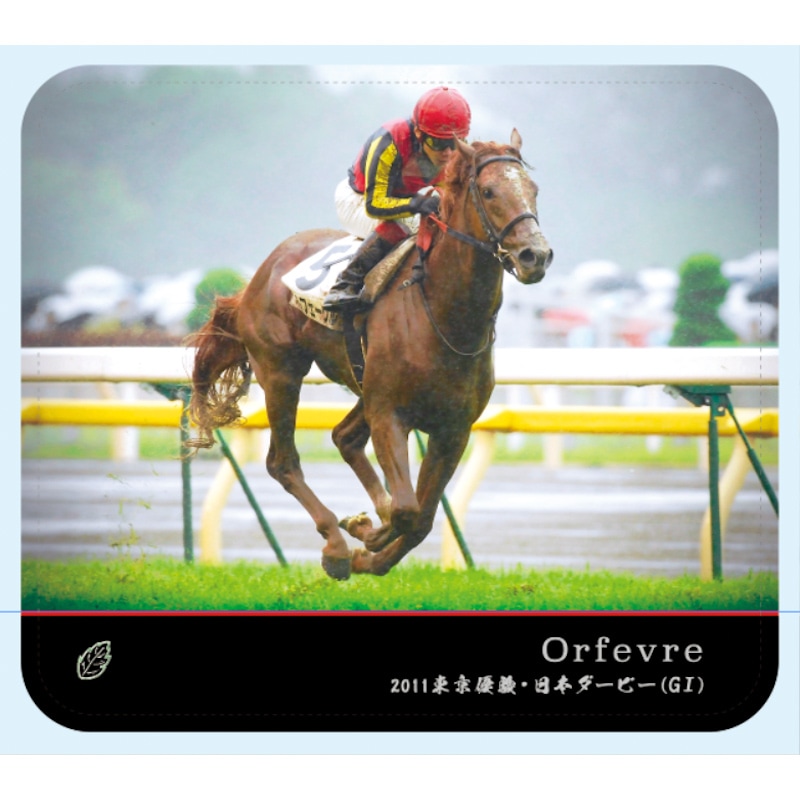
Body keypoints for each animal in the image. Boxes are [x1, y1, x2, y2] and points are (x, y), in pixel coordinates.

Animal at [189, 129, 553, 580]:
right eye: (488, 191)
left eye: (533, 190)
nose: (535, 255)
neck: (446, 316)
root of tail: (261, 273)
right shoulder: (390, 414)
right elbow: (406, 510)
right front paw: (364, 534)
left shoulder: (453, 429)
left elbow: (421, 519)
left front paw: (371, 547)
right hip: (280, 371)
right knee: (282, 461)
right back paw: (335, 544)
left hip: (363, 384)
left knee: (343, 438)